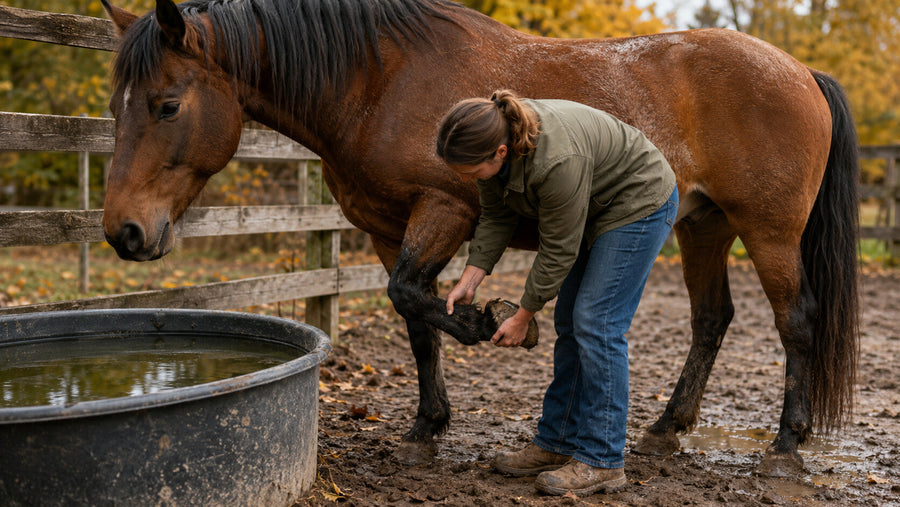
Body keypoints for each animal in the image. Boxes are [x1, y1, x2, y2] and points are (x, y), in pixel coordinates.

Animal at [99, 0, 859, 476]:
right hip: (704, 228)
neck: (379, 81)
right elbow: (414, 319)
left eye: (167, 105)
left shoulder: (444, 211)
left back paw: (786, 444)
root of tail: (801, 72)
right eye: (117, 106)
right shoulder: (387, 228)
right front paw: (425, 428)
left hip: (769, 232)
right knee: (711, 321)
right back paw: (667, 428)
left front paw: (486, 324)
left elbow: (416, 298)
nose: (124, 232)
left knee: (795, 321)